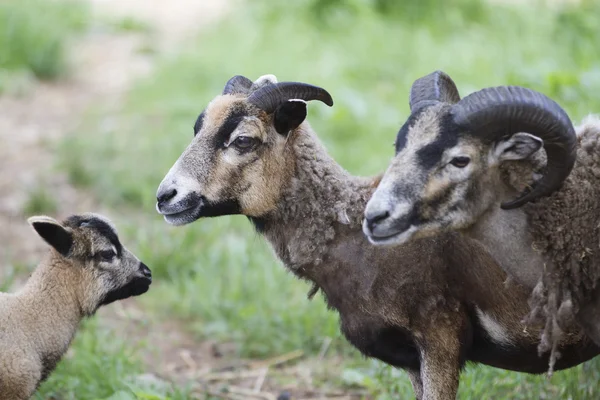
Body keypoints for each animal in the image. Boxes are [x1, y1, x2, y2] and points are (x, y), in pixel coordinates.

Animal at [156, 74, 600, 396]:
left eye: (244, 139)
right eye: (198, 128)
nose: (165, 196)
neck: (351, 233)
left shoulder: (440, 338)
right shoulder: (411, 359)